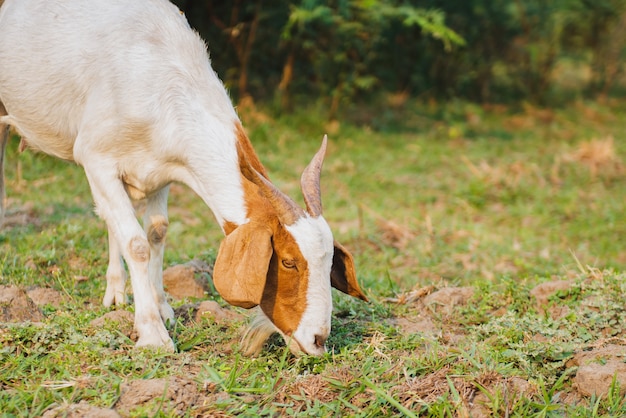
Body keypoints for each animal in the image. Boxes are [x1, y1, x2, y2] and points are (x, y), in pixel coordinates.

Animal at [0, 0, 366, 356]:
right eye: (289, 262)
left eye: (330, 262)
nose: (318, 340)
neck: (160, 70)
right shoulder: (96, 157)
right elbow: (136, 244)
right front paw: (152, 334)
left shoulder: (162, 169)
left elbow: (156, 232)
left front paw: (162, 309)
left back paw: (116, 292)